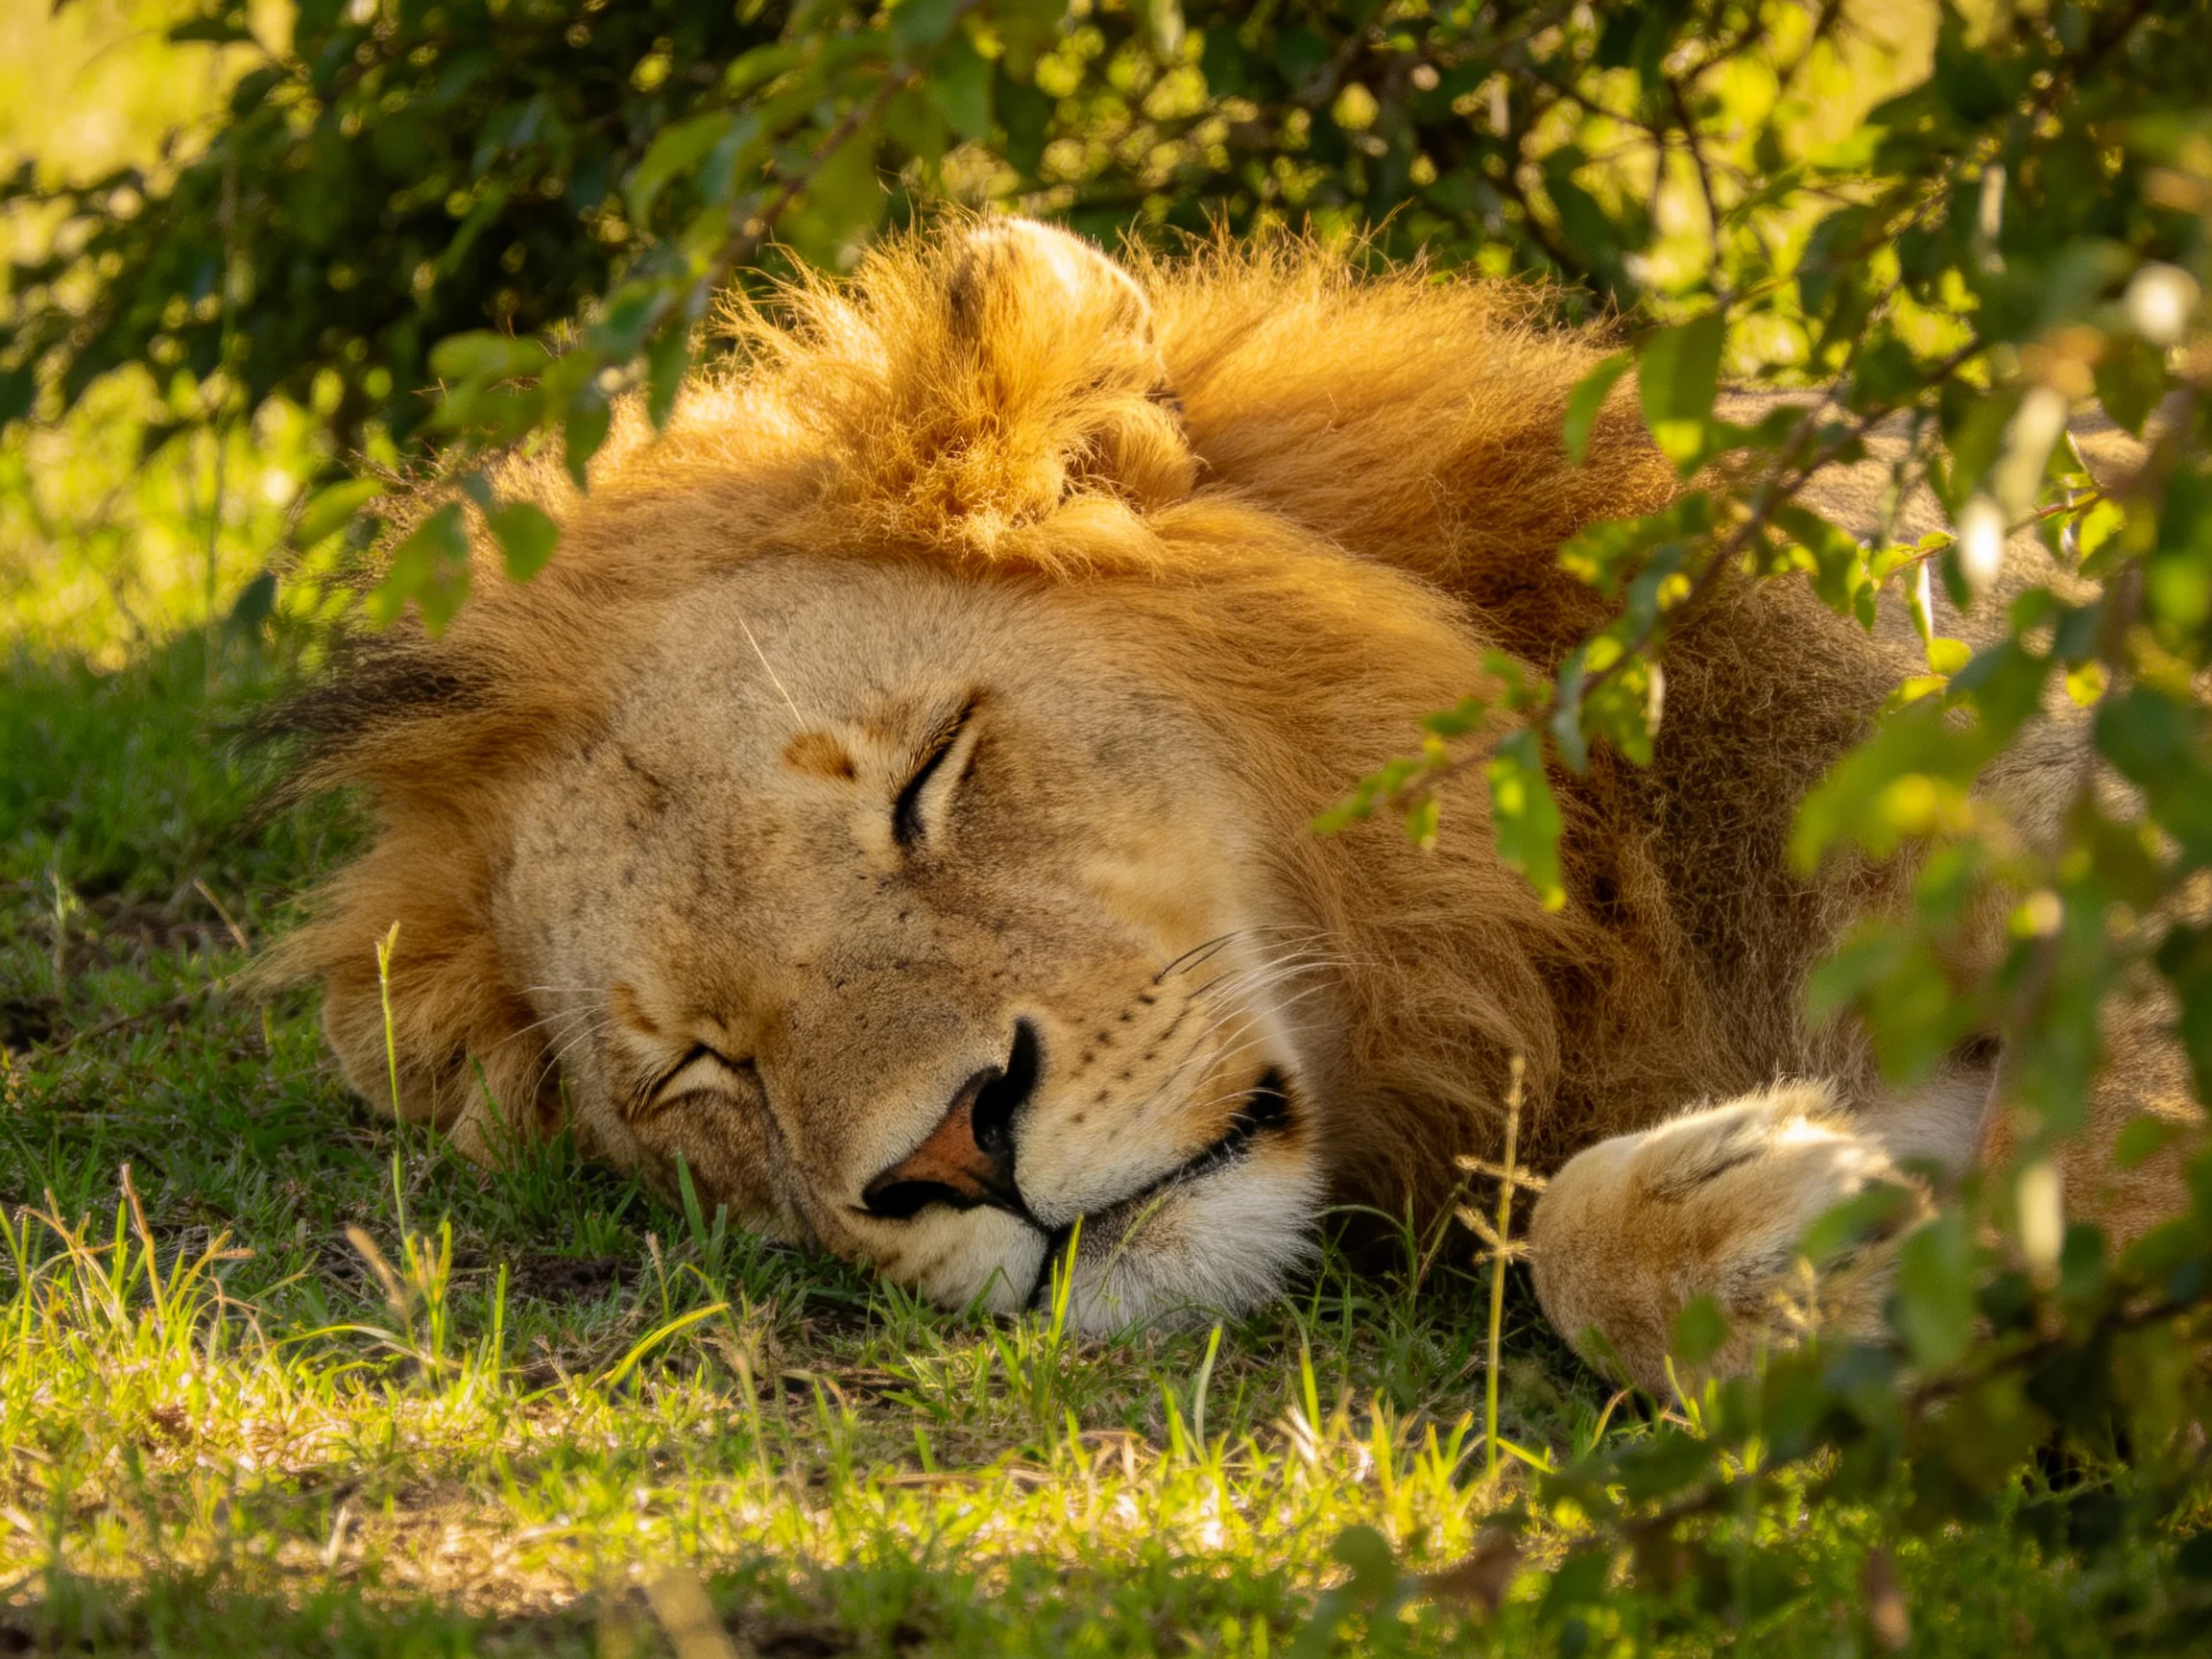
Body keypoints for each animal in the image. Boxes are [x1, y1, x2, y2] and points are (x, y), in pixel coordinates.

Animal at [275, 218, 2202, 1390]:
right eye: (701, 1066)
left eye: (928, 780)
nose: (949, 1151)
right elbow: (1572, 1229)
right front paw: (1834, 1254)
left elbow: (2128, 1149)